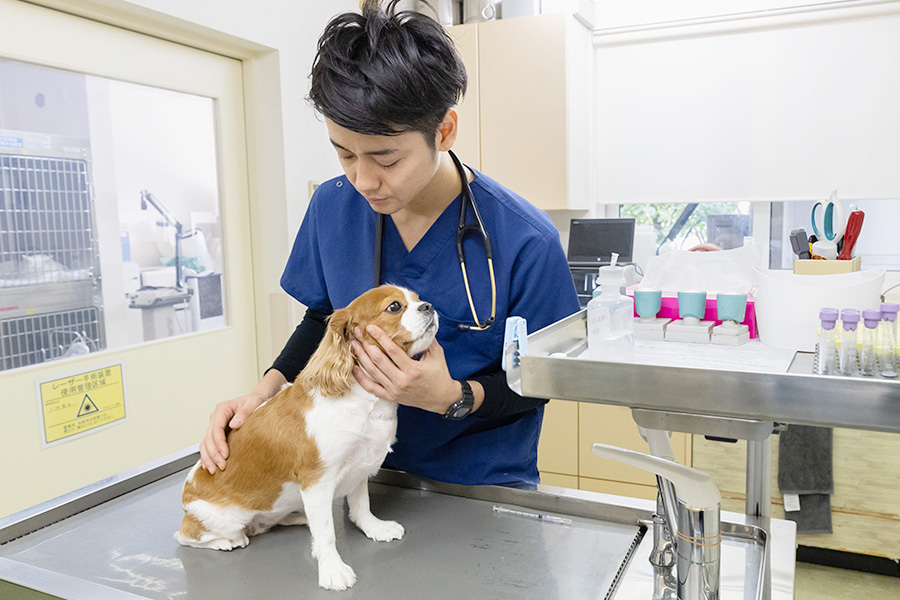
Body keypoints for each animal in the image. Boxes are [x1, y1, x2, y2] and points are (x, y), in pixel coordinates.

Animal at [174, 284, 438, 592]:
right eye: (395, 307)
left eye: (418, 299)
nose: (429, 306)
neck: (364, 400)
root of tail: (186, 499)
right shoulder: (317, 481)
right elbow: (326, 533)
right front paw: (332, 569)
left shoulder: (359, 467)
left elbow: (361, 506)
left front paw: (374, 527)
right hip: (221, 519)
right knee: (186, 535)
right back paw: (228, 541)